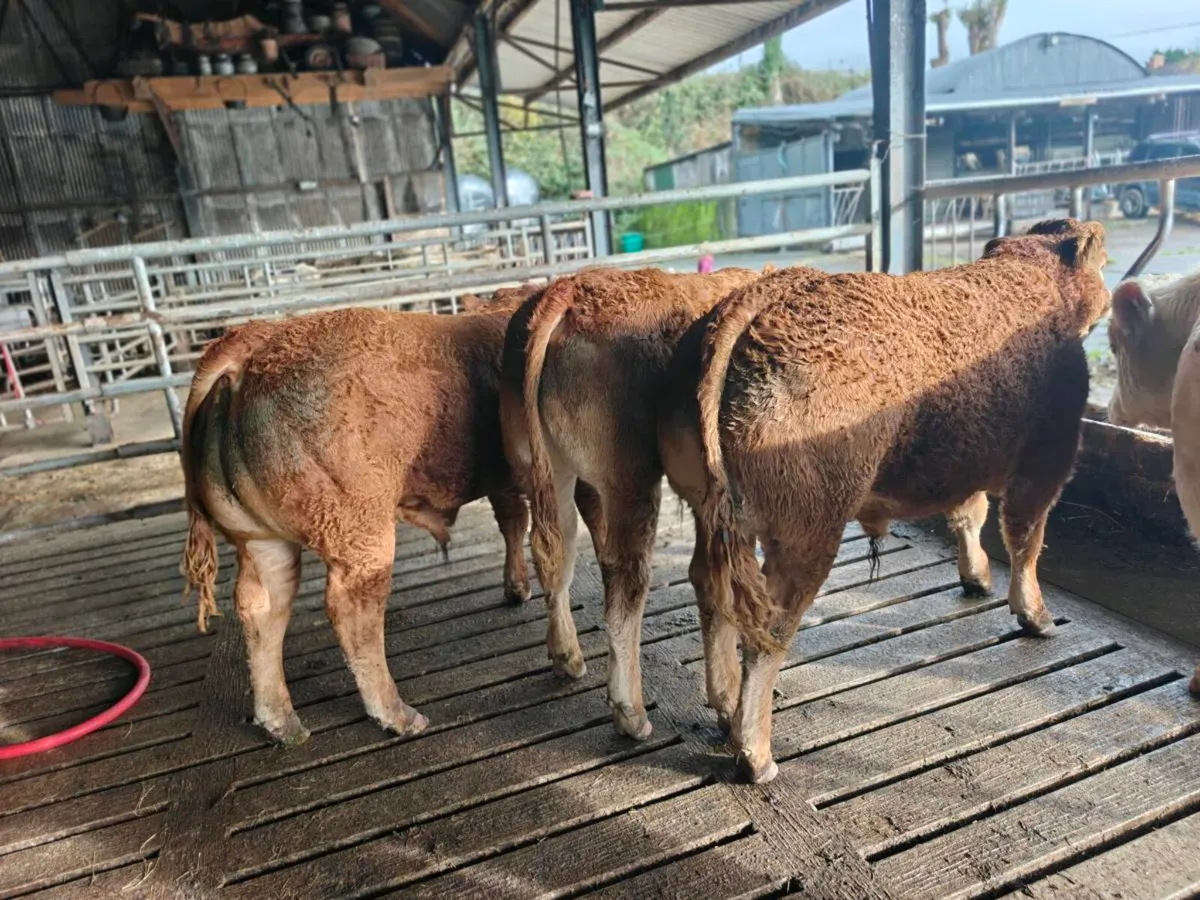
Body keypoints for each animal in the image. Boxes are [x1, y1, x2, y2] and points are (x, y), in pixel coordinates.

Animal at [179, 298, 535, 746]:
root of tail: (252, 345)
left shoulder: (502, 480)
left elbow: (511, 520)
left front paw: (516, 587)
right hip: (361, 529)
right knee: (352, 611)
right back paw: (397, 715)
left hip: (260, 538)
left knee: (262, 606)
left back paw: (284, 725)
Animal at [500, 266, 768, 741]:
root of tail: (565, 292)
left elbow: (709, 579)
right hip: (631, 480)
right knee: (627, 580)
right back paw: (631, 713)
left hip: (544, 469)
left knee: (554, 553)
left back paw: (567, 657)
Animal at [660, 219, 1112, 783]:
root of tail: (758, 299)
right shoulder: (1046, 458)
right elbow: (1026, 541)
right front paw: (1037, 617)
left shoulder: (960, 460)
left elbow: (970, 515)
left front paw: (977, 577)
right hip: (809, 527)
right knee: (767, 629)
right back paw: (756, 755)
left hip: (713, 512)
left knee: (711, 587)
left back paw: (724, 710)